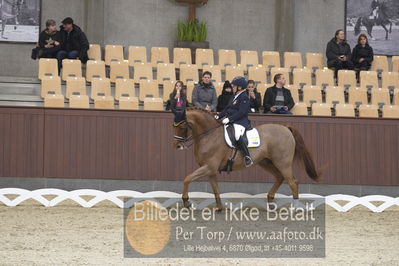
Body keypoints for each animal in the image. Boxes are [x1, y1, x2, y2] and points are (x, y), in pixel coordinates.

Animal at [173, 107, 322, 211]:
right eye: (173, 125)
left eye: (182, 126)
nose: (177, 146)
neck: (209, 135)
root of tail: (286, 128)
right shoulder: (210, 170)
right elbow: (215, 189)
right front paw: (219, 208)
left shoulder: (209, 167)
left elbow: (187, 178)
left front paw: (186, 201)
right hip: (266, 162)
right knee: (280, 178)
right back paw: (270, 201)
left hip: (282, 162)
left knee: (292, 182)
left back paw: (294, 208)